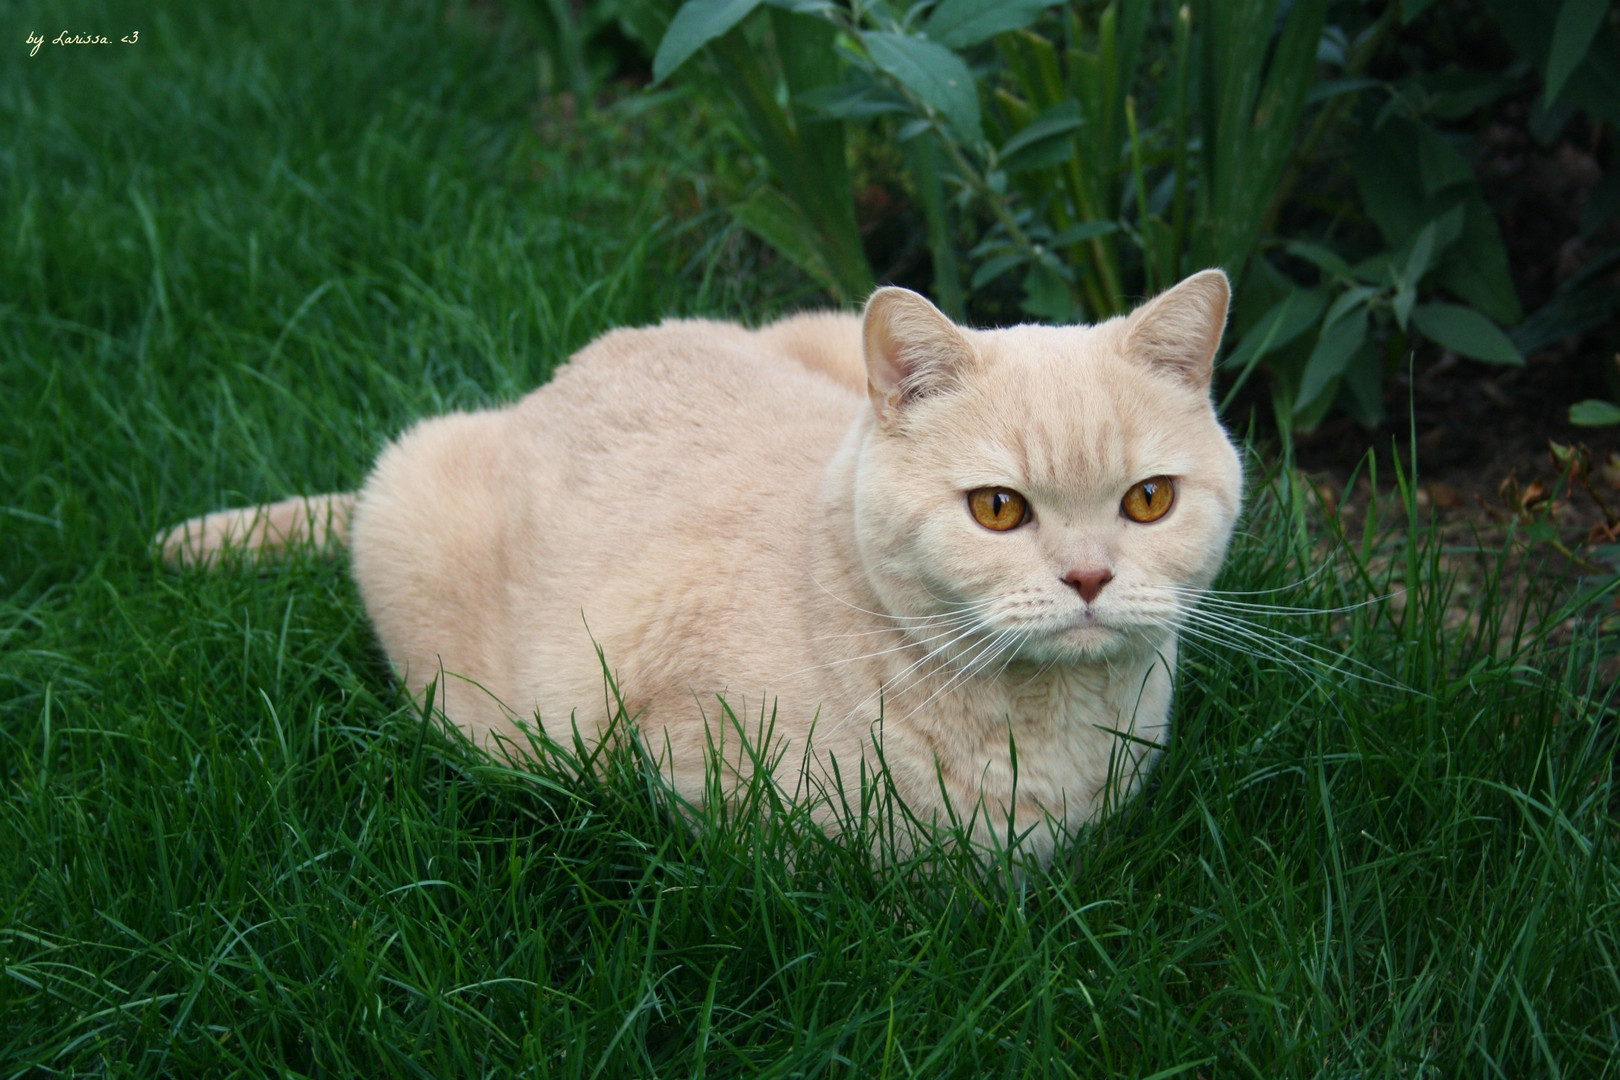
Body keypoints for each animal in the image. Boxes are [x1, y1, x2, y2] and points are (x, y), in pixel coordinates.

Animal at [161, 272, 1237, 867]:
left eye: (1149, 500)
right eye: (999, 509)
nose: (1090, 579)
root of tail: (540, 389)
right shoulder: (682, 765)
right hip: (474, 676)